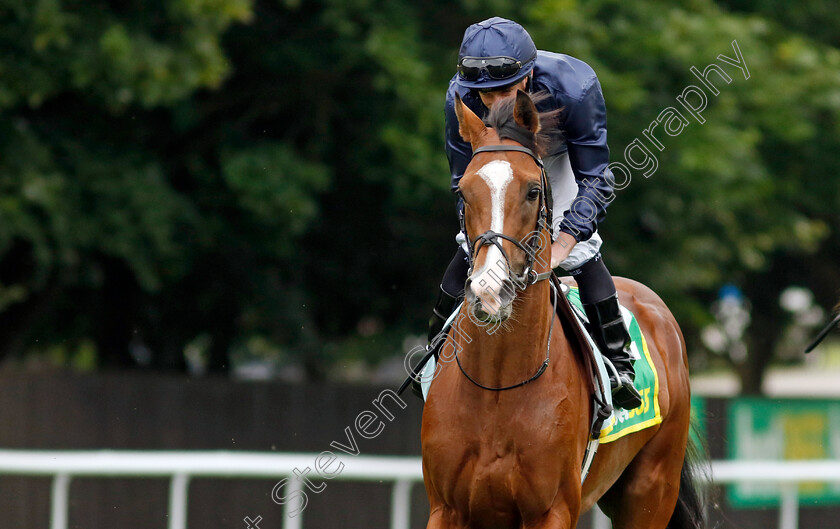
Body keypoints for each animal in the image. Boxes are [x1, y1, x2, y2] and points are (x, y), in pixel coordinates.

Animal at [420, 92, 704, 528]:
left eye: (533, 191)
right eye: (464, 192)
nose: (489, 291)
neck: (496, 387)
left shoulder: (551, 510)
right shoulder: (446, 508)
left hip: (652, 488)